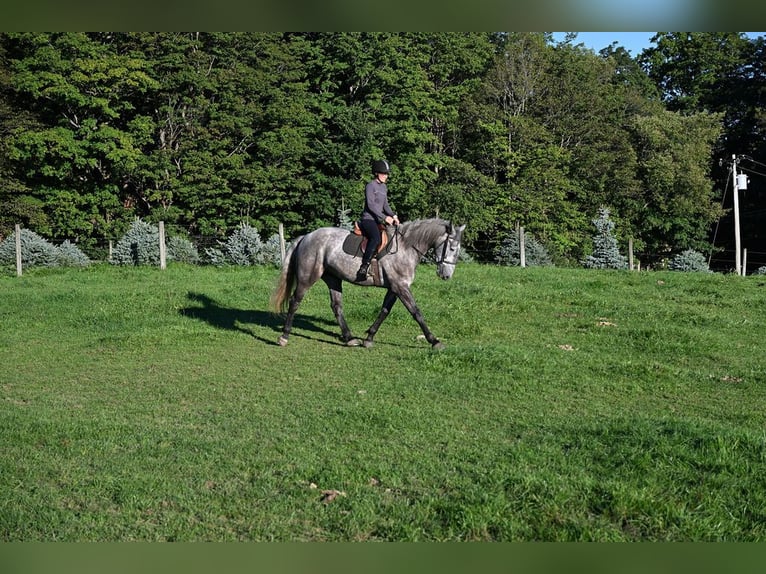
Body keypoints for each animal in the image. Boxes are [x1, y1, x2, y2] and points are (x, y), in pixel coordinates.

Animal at [270, 218, 466, 350]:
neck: (406, 247)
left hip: (333, 278)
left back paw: (350, 338)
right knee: (295, 302)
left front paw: (369, 338)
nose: (446, 275)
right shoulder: (401, 287)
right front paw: (434, 341)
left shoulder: (394, 288)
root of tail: (306, 236)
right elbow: (416, 312)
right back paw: (284, 336)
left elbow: (384, 311)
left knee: (336, 306)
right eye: (452, 248)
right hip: (307, 277)